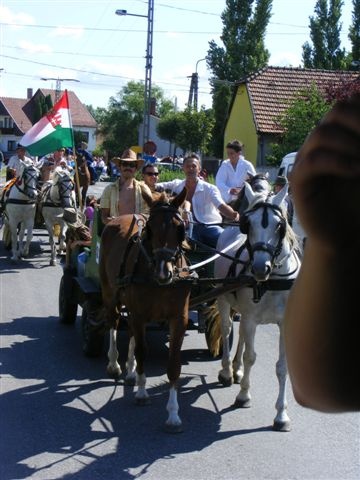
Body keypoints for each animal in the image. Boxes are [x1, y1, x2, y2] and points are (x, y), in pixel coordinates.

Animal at [98, 188, 194, 432]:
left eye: (180, 228)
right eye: (150, 228)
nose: (163, 272)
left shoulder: (179, 318)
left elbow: (174, 365)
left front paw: (173, 414)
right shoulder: (140, 315)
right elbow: (143, 351)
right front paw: (141, 393)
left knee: (130, 330)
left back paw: (130, 371)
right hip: (109, 293)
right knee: (113, 322)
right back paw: (114, 364)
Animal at [214, 183, 300, 432]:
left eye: (279, 225)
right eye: (248, 224)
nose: (261, 267)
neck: (273, 281)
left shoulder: (283, 324)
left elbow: (282, 367)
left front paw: (281, 415)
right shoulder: (251, 319)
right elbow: (251, 357)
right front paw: (243, 395)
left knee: (241, 334)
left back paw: (236, 370)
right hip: (223, 300)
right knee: (226, 329)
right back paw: (226, 371)